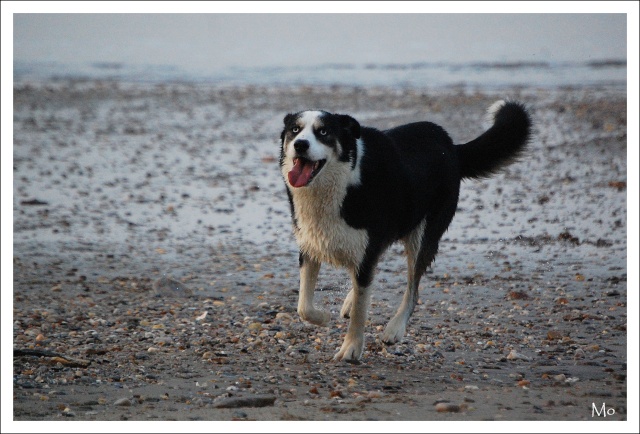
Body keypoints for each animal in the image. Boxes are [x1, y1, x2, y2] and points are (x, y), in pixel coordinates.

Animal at [278, 100, 528, 362]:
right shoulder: (310, 245)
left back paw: (395, 327)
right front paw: (324, 317)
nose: (300, 144)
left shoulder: (366, 251)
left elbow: (360, 310)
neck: (344, 181)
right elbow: (304, 306)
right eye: (295, 130)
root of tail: (452, 147)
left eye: (323, 132)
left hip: (423, 236)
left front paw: (351, 347)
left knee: (413, 289)